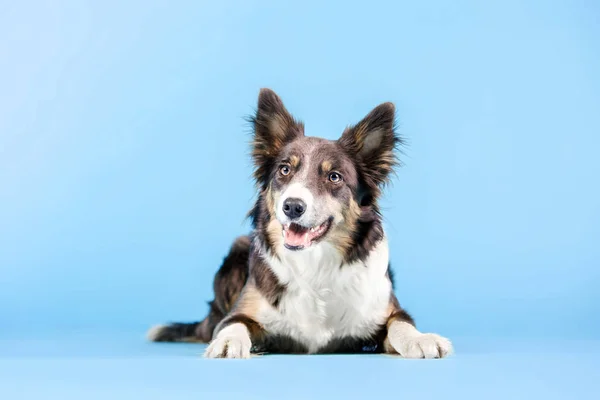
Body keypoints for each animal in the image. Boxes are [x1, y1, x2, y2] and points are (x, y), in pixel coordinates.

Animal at [148, 89, 452, 358]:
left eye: (334, 176)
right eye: (284, 170)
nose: (292, 206)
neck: (314, 265)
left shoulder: (386, 310)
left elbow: (401, 324)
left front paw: (422, 339)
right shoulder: (240, 313)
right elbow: (232, 326)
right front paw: (227, 343)